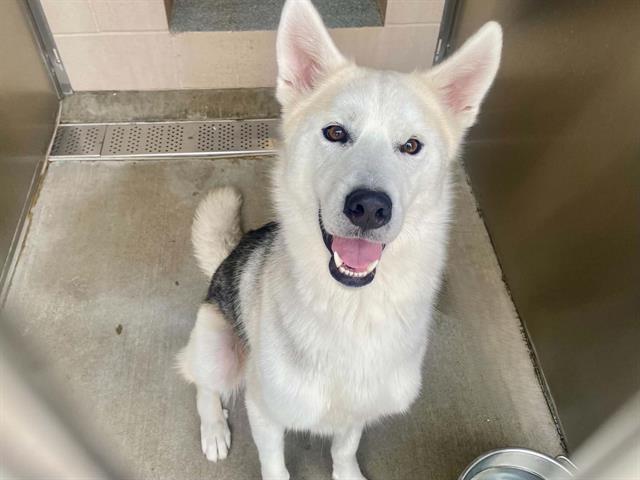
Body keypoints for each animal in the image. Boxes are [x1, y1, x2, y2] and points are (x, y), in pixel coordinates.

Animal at [178, 1, 502, 478]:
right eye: (335, 133)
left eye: (411, 146)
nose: (369, 207)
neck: (353, 310)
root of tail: (229, 256)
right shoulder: (265, 410)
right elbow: (275, 466)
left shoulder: (356, 413)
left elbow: (344, 449)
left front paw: (346, 472)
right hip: (218, 347)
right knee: (201, 382)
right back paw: (214, 429)